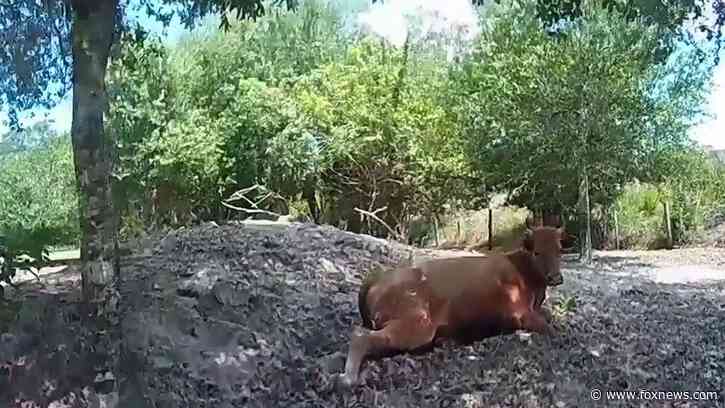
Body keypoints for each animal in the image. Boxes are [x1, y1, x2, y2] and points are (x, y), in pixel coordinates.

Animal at [335, 225, 566, 388]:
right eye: (537, 252)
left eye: (559, 250)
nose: (556, 278)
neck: (521, 268)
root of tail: (377, 278)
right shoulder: (521, 313)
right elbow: (549, 328)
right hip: (418, 325)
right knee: (360, 337)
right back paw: (348, 379)